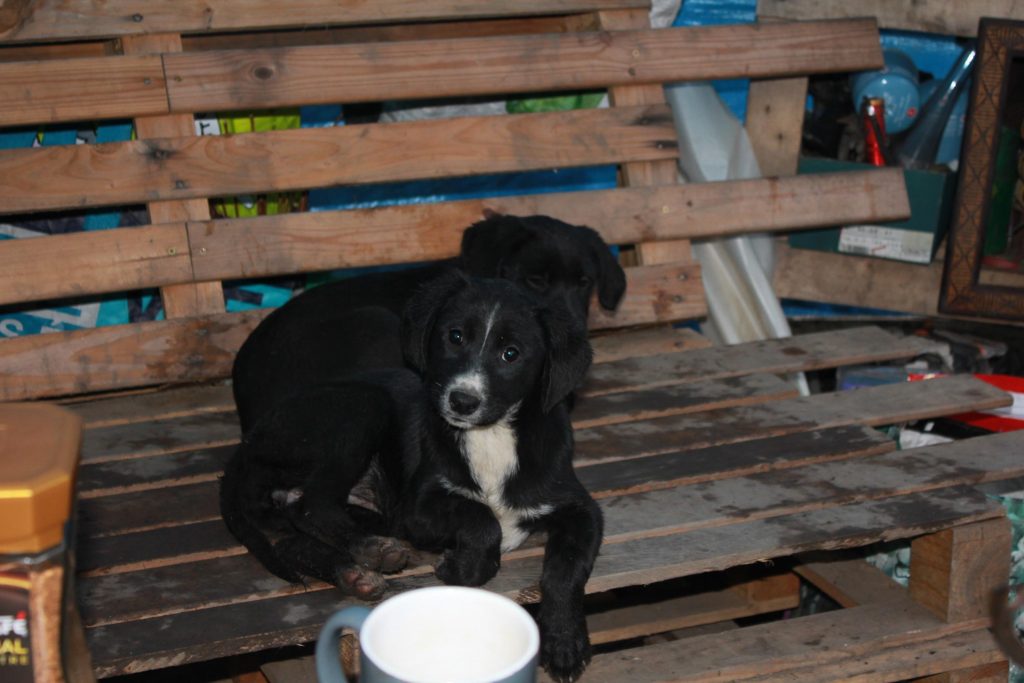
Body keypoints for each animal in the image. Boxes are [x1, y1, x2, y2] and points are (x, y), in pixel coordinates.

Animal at [220, 274, 602, 683]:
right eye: (454, 336)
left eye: (511, 354)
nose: (462, 401)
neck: (492, 436)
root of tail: (248, 440)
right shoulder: (417, 509)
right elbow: (481, 520)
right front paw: (460, 566)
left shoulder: (581, 510)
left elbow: (566, 570)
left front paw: (565, 644)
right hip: (360, 407)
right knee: (313, 505)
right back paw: (372, 550)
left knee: (294, 536)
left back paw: (354, 573)